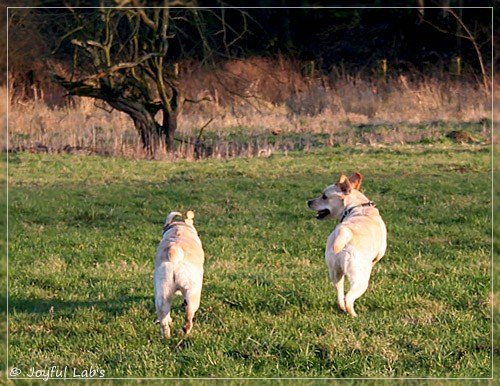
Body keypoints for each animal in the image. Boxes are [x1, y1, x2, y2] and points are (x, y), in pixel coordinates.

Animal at [154, 210, 205, 340]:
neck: (179, 228)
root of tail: (175, 251)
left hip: (163, 293)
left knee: (164, 320)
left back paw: (166, 336)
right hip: (193, 293)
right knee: (189, 314)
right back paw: (185, 330)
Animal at [308, 173, 386, 316]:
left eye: (324, 196)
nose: (308, 201)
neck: (356, 207)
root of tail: (345, 232)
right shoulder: (379, 254)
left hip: (335, 273)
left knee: (340, 294)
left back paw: (342, 308)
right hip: (360, 279)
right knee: (349, 298)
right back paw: (354, 315)